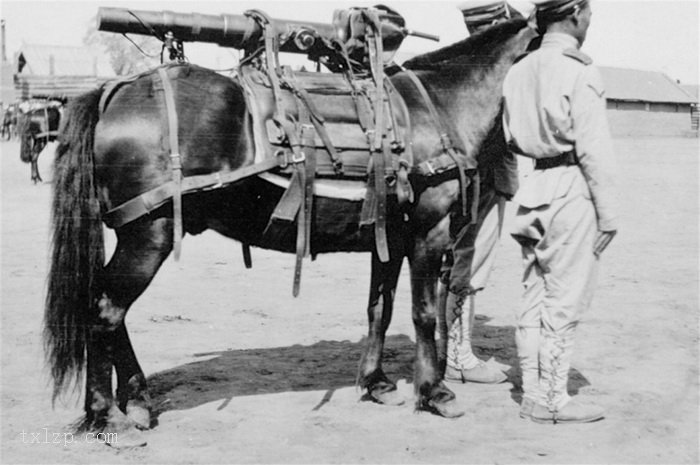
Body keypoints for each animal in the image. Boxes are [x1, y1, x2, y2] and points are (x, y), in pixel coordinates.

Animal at [45, 18, 536, 444]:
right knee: (105, 312)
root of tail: (116, 89)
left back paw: (137, 401)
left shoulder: (390, 240)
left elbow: (379, 309)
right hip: (150, 234)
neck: (439, 106)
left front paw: (376, 383)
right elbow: (425, 314)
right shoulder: (428, 233)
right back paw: (107, 415)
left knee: (108, 310)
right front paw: (435, 393)